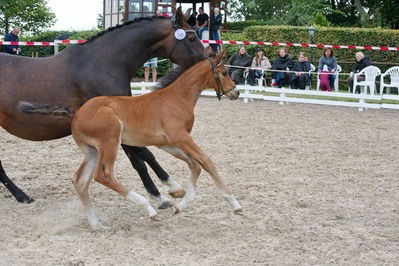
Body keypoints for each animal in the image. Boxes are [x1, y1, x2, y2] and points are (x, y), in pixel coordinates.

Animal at [0, 6, 205, 206]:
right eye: (192, 38)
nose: (208, 60)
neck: (103, 63)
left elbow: (140, 157)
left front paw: (161, 192)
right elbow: (142, 156)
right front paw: (166, 190)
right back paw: (22, 195)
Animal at [70, 48, 242, 231]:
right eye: (224, 72)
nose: (236, 92)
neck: (177, 98)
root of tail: (76, 117)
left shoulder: (166, 143)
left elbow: (194, 165)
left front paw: (180, 205)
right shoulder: (181, 137)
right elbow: (206, 161)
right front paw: (235, 205)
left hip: (92, 151)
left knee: (80, 181)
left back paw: (97, 225)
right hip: (110, 143)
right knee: (103, 175)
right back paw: (149, 209)